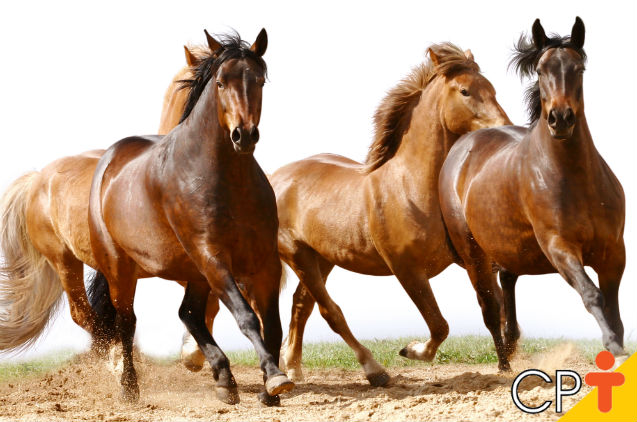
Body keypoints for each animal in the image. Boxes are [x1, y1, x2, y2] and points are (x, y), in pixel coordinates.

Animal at [84, 29, 294, 406]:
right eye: (221, 83)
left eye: (259, 80)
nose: (244, 135)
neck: (227, 180)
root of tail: (109, 161)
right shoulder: (213, 256)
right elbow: (246, 317)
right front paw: (275, 377)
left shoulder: (264, 261)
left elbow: (271, 324)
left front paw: (269, 389)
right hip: (122, 268)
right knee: (127, 321)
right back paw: (129, 388)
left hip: (194, 271)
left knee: (189, 314)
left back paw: (224, 379)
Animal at [270, 43, 510, 386]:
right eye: (465, 91)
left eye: (492, 89)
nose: (503, 128)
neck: (410, 186)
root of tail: (275, 178)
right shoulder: (407, 270)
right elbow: (439, 325)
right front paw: (411, 350)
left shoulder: (474, 259)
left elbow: (493, 307)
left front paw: (507, 365)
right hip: (298, 255)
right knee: (330, 312)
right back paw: (375, 370)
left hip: (322, 259)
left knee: (301, 306)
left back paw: (293, 367)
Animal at [438, 16, 628, 370]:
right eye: (540, 70)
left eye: (579, 68)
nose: (560, 118)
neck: (576, 180)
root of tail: (461, 147)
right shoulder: (559, 247)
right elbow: (592, 294)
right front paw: (612, 346)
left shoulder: (614, 253)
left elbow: (613, 307)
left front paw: (618, 345)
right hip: (473, 254)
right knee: (489, 306)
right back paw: (504, 365)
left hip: (508, 246)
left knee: (508, 283)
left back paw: (512, 344)